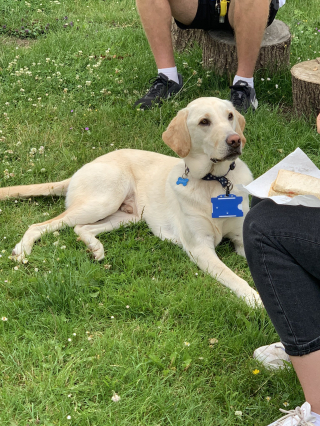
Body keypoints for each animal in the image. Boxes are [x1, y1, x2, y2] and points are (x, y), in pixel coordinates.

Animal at [0, 97, 260, 306]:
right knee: (40, 225)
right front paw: (254, 299)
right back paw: (22, 250)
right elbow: (232, 276)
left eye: (229, 116)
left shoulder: (242, 240)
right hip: (104, 201)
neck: (216, 181)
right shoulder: (200, 247)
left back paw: (95, 248)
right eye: (204, 122)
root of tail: (82, 168)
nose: (235, 140)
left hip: (129, 216)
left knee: (81, 228)